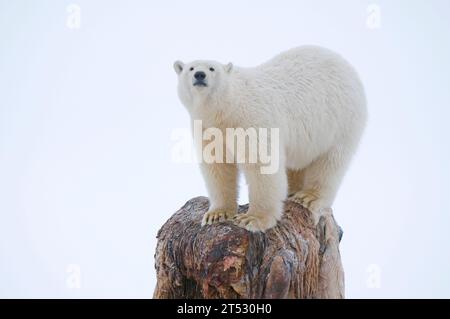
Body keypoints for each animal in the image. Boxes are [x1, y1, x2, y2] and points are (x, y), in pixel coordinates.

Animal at [174, 46, 368, 232]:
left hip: (340, 120)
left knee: (330, 162)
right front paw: (217, 214)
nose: (200, 75)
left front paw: (252, 219)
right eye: (191, 68)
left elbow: (262, 165)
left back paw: (308, 197)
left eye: (212, 68)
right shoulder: (209, 129)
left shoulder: (252, 120)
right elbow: (217, 167)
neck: (229, 109)